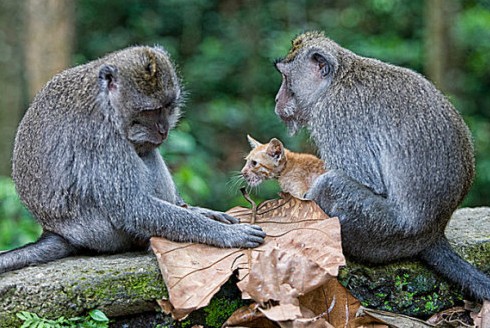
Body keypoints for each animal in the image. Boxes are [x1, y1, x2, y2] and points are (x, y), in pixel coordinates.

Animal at [0, 44, 264, 274]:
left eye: (167, 106)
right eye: (149, 111)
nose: (162, 129)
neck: (106, 102)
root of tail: (56, 231)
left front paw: (199, 211)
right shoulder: (101, 137)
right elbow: (132, 207)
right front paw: (226, 234)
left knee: (145, 150)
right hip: (103, 234)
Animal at [276, 31, 490, 300]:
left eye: (286, 78)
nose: (277, 99)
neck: (337, 81)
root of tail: (434, 232)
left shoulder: (336, 117)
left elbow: (367, 182)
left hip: (384, 231)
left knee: (331, 184)